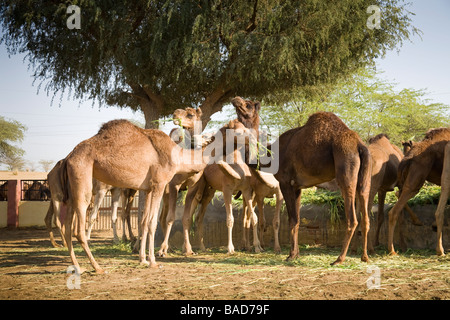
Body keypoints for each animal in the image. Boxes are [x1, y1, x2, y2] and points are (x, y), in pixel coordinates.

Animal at [250, 112, 372, 264]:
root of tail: (360, 145)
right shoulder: (297, 187)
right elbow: (296, 219)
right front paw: (296, 254)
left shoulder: (285, 182)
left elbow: (292, 219)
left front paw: (291, 255)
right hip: (364, 180)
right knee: (365, 216)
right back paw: (365, 257)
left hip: (345, 171)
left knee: (352, 219)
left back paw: (339, 259)